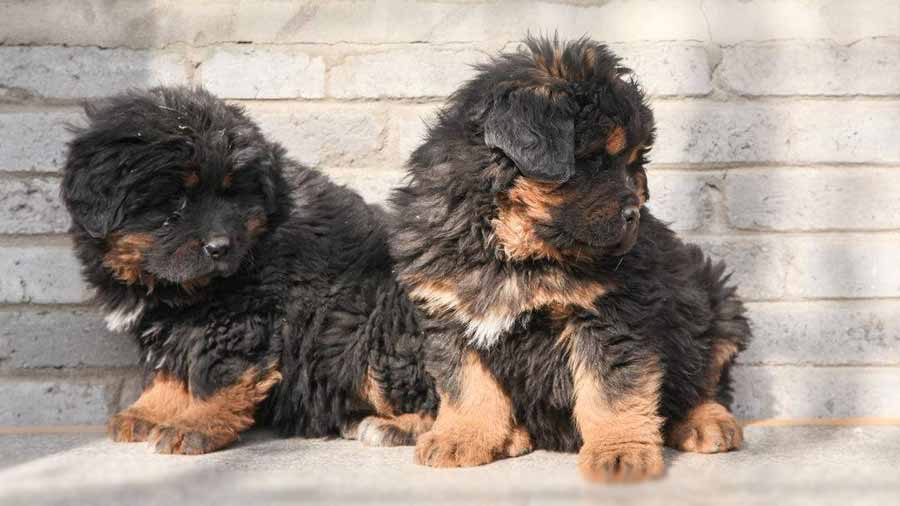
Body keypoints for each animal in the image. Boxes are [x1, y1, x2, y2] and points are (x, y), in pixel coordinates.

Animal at [60, 87, 436, 454]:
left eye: (232, 193)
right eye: (176, 200)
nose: (219, 247)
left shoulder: (235, 317)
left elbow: (218, 372)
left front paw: (194, 426)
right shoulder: (168, 322)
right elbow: (169, 370)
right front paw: (148, 412)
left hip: (376, 321)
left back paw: (395, 426)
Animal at [392, 36, 752, 482]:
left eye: (633, 165)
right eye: (594, 162)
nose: (634, 213)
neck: (511, 251)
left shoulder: (608, 317)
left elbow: (612, 393)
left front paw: (620, 453)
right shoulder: (449, 315)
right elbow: (467, 387)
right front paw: (460, 438)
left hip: (716, 302)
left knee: (703, 380)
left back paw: (707, 422)